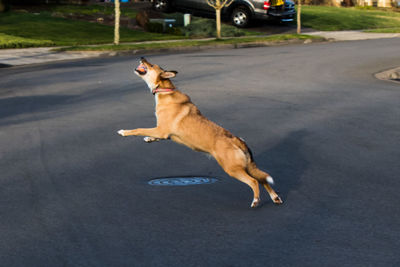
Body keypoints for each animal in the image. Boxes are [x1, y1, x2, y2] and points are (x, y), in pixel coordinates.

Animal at [117, 58, 282, 209]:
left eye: (151, 65)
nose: (142, 57)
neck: (165, 91)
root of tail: (238, 140)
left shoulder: (161, 130)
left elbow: (138, 129)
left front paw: (124, 132)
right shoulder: (163, 133)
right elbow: (151, 136)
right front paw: (149, 139)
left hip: (233, 169)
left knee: (254, 181)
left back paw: (256, 201)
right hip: (245, 167)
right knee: (263, 180)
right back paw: (275, 198)